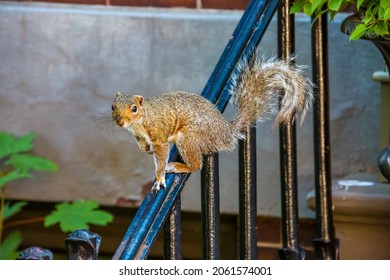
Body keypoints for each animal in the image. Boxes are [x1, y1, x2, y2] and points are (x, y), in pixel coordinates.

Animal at [110, 55, 314, 191]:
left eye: (134, 109)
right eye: (112, 106)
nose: (119, 121)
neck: (140, 122)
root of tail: (226, 133)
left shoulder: (159, 134)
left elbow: (161, 156)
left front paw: (159, 177)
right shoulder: (139, 136)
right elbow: (147, 148)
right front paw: (146, 149)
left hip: (188, 137)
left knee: (196, 165)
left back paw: (178, 166)